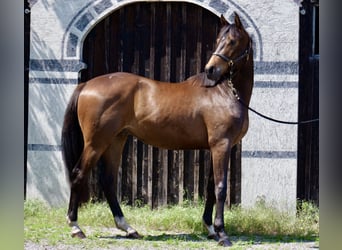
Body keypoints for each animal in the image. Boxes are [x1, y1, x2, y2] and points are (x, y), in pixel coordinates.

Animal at [61, 12, 254, 246]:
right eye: (218, 40)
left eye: (232, 41)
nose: (210, 70)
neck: (223, 92)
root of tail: (86, 85)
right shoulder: (221, 145)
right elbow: (220, 187)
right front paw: (222, 234)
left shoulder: (216, 147)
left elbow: (210, 187)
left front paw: (210, 229)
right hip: (96, 143)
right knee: (79, 174)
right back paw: (75, 227)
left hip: (116, 140)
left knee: (108, 181)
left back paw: (128, 228)